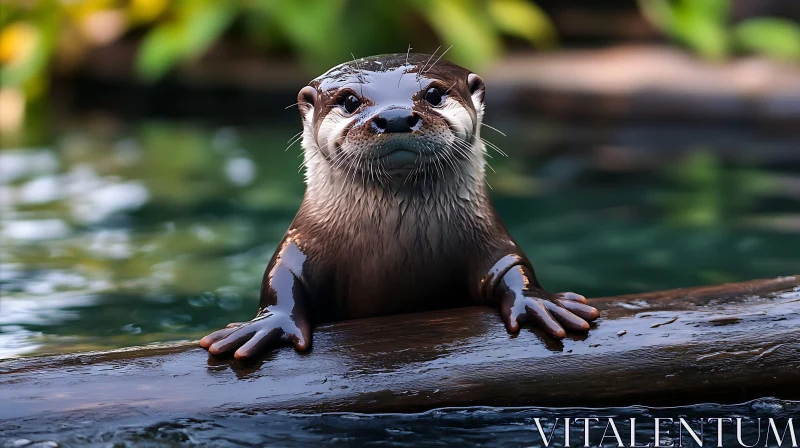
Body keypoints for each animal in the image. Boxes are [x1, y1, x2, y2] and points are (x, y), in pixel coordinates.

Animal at [200, 53, 600, 360]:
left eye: (434, 93)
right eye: (349, 101)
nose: (394, 117)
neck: (395, 245)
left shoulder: (489, 236)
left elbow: (511, 266)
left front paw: (538, 300)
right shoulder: (302, 242)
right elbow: (282, 275)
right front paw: (270, 323)